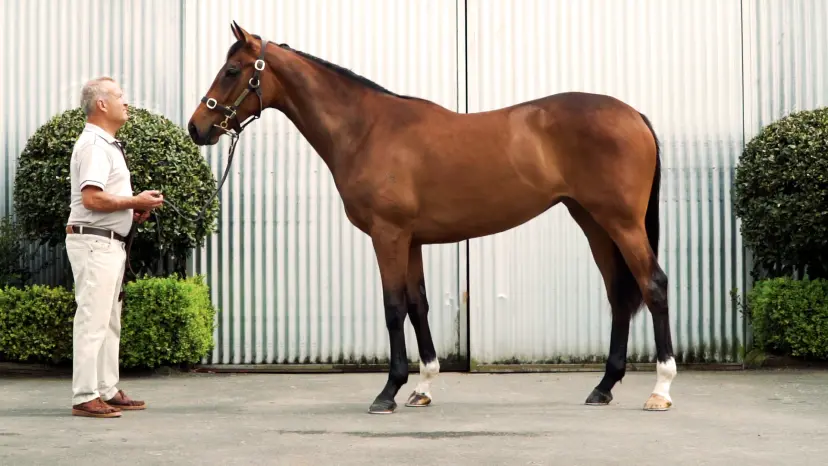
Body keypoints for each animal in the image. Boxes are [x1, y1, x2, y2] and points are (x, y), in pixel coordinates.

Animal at [187, 21, 677, 414]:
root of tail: (633, 115)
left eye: (232, 71)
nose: (196, 128)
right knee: (619, 295)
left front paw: (388, 392)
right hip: (593, 223)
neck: (366, 130)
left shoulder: (387, 236)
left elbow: (393, 308)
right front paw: (422, 387)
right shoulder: (412, 240)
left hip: (621, 223)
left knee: (652, 285)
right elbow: (417, 305)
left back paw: (661, 390)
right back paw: (604, 387)